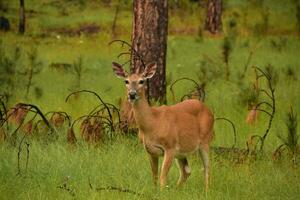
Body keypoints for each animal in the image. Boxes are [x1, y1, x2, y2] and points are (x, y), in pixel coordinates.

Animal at [112, 61, 213, 191]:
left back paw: (206, 191)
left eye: (141, 81)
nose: (132, 94)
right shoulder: (149, 150)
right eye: (126, 81)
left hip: (205, 140)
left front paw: (162, 192)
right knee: (186, 171)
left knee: (207, 168)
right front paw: (155, 191)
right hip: (181, 151)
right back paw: (177, 189)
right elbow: (154, 176)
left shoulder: (169, 147)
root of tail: (207, 108)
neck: (152, 123)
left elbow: (162, 177)